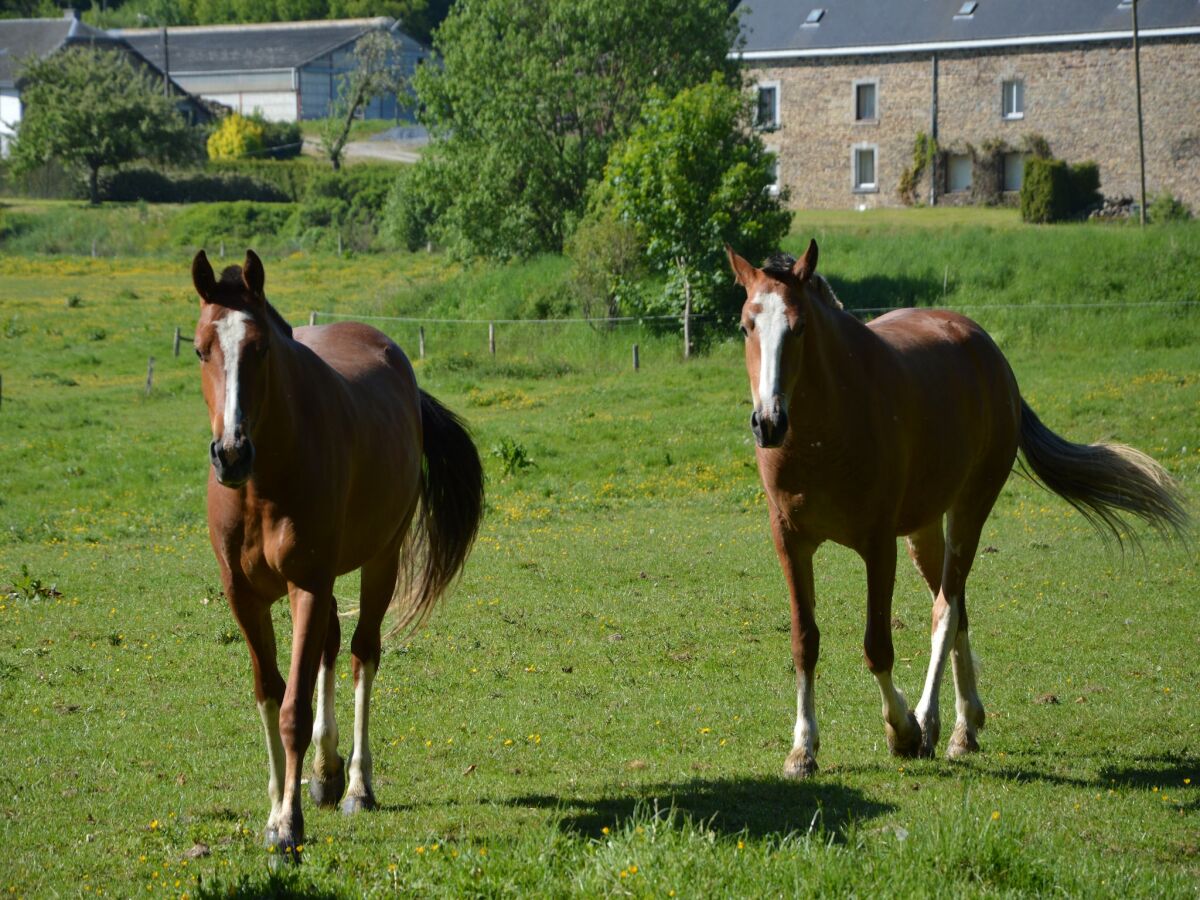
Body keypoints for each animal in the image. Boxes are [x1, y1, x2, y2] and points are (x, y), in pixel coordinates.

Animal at [192, 252, 482, 859]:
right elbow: (269, 694)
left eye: (260, 348)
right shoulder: (243, 595)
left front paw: (287, 826)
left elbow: (293, 710)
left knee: (360, 654)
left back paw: (355, 787)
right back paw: (324, 776)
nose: (231, 453)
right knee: (328, 646)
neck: (262, 484)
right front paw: (278, 805)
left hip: (381, 562)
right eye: (202, 349)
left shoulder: (307, 583)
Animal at [724, 241, 1185, 782]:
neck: (823, 429)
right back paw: (968, 725)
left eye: (798, 328)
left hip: (968, 511)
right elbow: (804, 642)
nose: (768, 423)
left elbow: (878, 646)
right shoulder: (791, 541)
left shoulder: (877, 545)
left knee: (945, 611)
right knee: (958, 603)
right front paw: (802, 750)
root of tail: (988, 350)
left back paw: (937, 724)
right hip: (924, 529)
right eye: (746, 326)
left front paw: (902, 730)